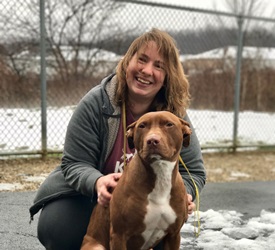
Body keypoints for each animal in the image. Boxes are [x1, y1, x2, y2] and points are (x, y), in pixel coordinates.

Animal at [82, 111, 192, 250]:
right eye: (142, 126)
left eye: (169, 124)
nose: (152, 140)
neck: (160, 175)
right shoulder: (119, 235)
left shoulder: (173, 235)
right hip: (96, 246)